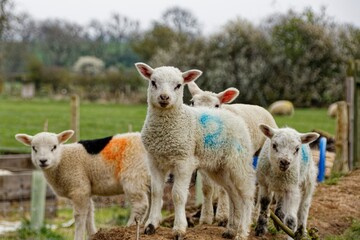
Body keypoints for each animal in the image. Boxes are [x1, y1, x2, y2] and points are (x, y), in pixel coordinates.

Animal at [14, 130, 150, 240]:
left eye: (54, 147)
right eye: (34, 148)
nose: (43, 161)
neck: (62, 160)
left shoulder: (79, 187)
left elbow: (79, 216)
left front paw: (79, 236)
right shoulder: (85, 189)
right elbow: (89, 213)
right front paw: (93, 235)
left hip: (134, 175)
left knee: (140, 205)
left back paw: (129, 228)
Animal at [135, 62, 256, 240]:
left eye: (178, 85)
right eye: (153, 82)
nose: (164, 98)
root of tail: (235, 117)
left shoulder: (183, 160)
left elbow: (178, 195)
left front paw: (179, 229)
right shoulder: (154, 160)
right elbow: (156, 192)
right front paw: (151, 225)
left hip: (238, 161)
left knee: (246, 195)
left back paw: (242, 232)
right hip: (218, 167)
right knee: (233, 194)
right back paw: (231, 230)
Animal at [187, 81, 278, 226]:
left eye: (217, 105)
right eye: (192, 102)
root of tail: (262, 109)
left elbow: (224, 189)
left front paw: (222, 217)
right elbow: (207, 189)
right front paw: (205, 219)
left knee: (261, 186)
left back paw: (256, 216)